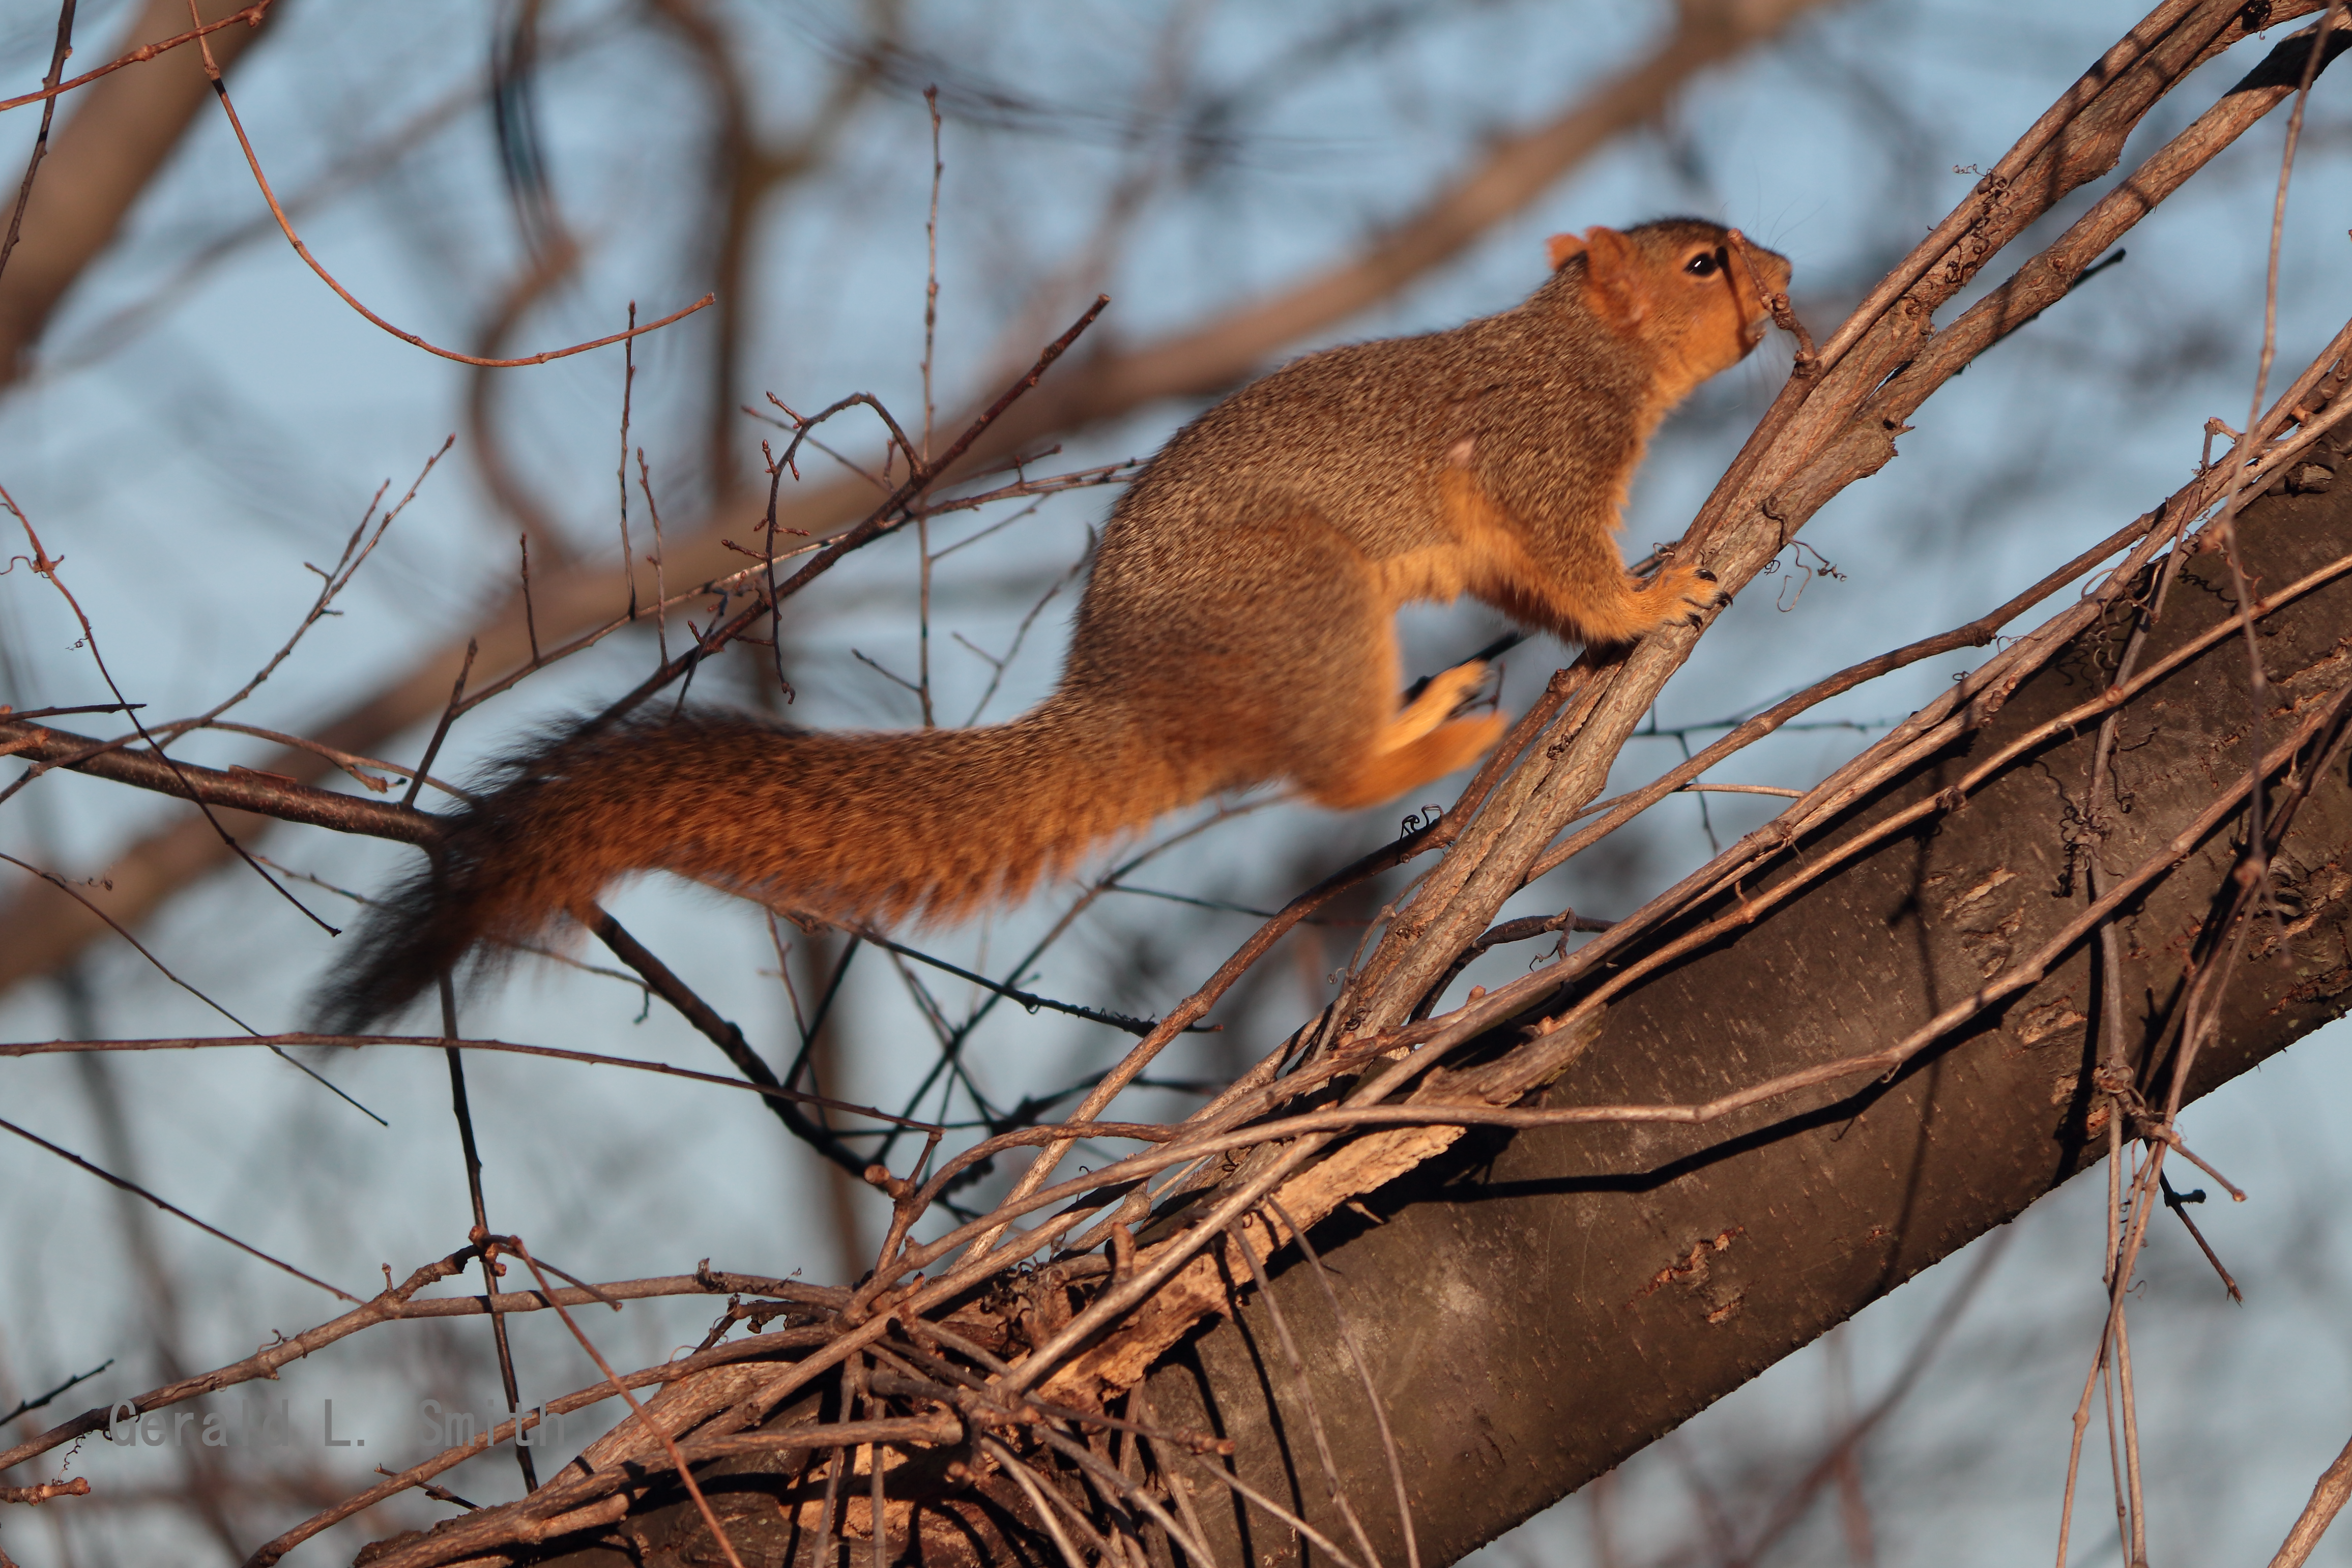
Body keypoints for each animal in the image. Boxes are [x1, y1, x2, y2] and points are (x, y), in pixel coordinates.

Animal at [312, 221, 1778, 1029]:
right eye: (1699, 262)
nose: (1781, 275)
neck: (1585, 349)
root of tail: (1124, 697)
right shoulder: (1539, 455)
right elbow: (1567, 557)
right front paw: (1650, 595)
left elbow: (1535, 585)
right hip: (1300, 602)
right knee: (1322, 769)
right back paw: (1431, 741)